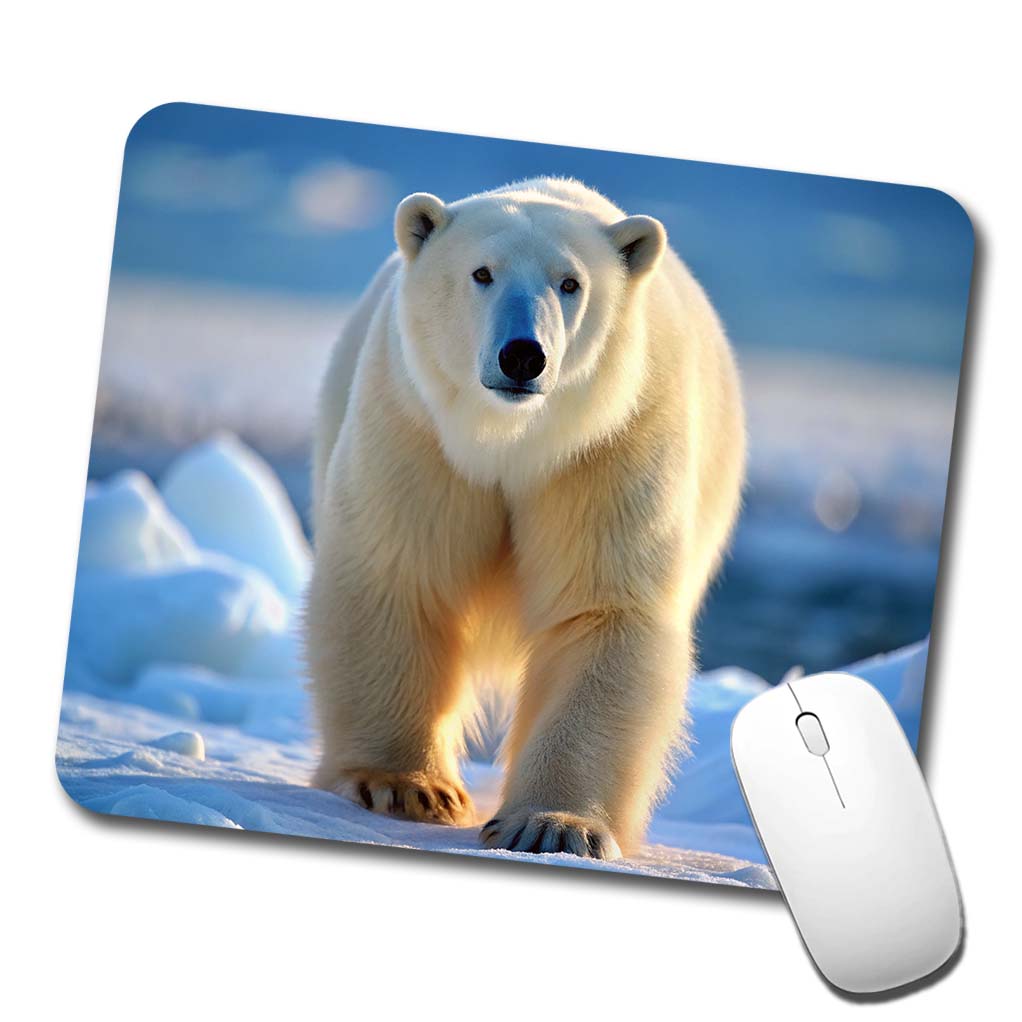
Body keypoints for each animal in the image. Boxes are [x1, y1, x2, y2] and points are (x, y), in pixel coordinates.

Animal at [306, 177, 746, 859]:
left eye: (570, 283)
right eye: (482, 272)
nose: (522, 356)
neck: (511, 442)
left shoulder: (609, 443)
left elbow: (601, 610)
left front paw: (554, 825)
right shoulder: (417, 429)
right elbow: (399, 576)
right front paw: (404, 787)